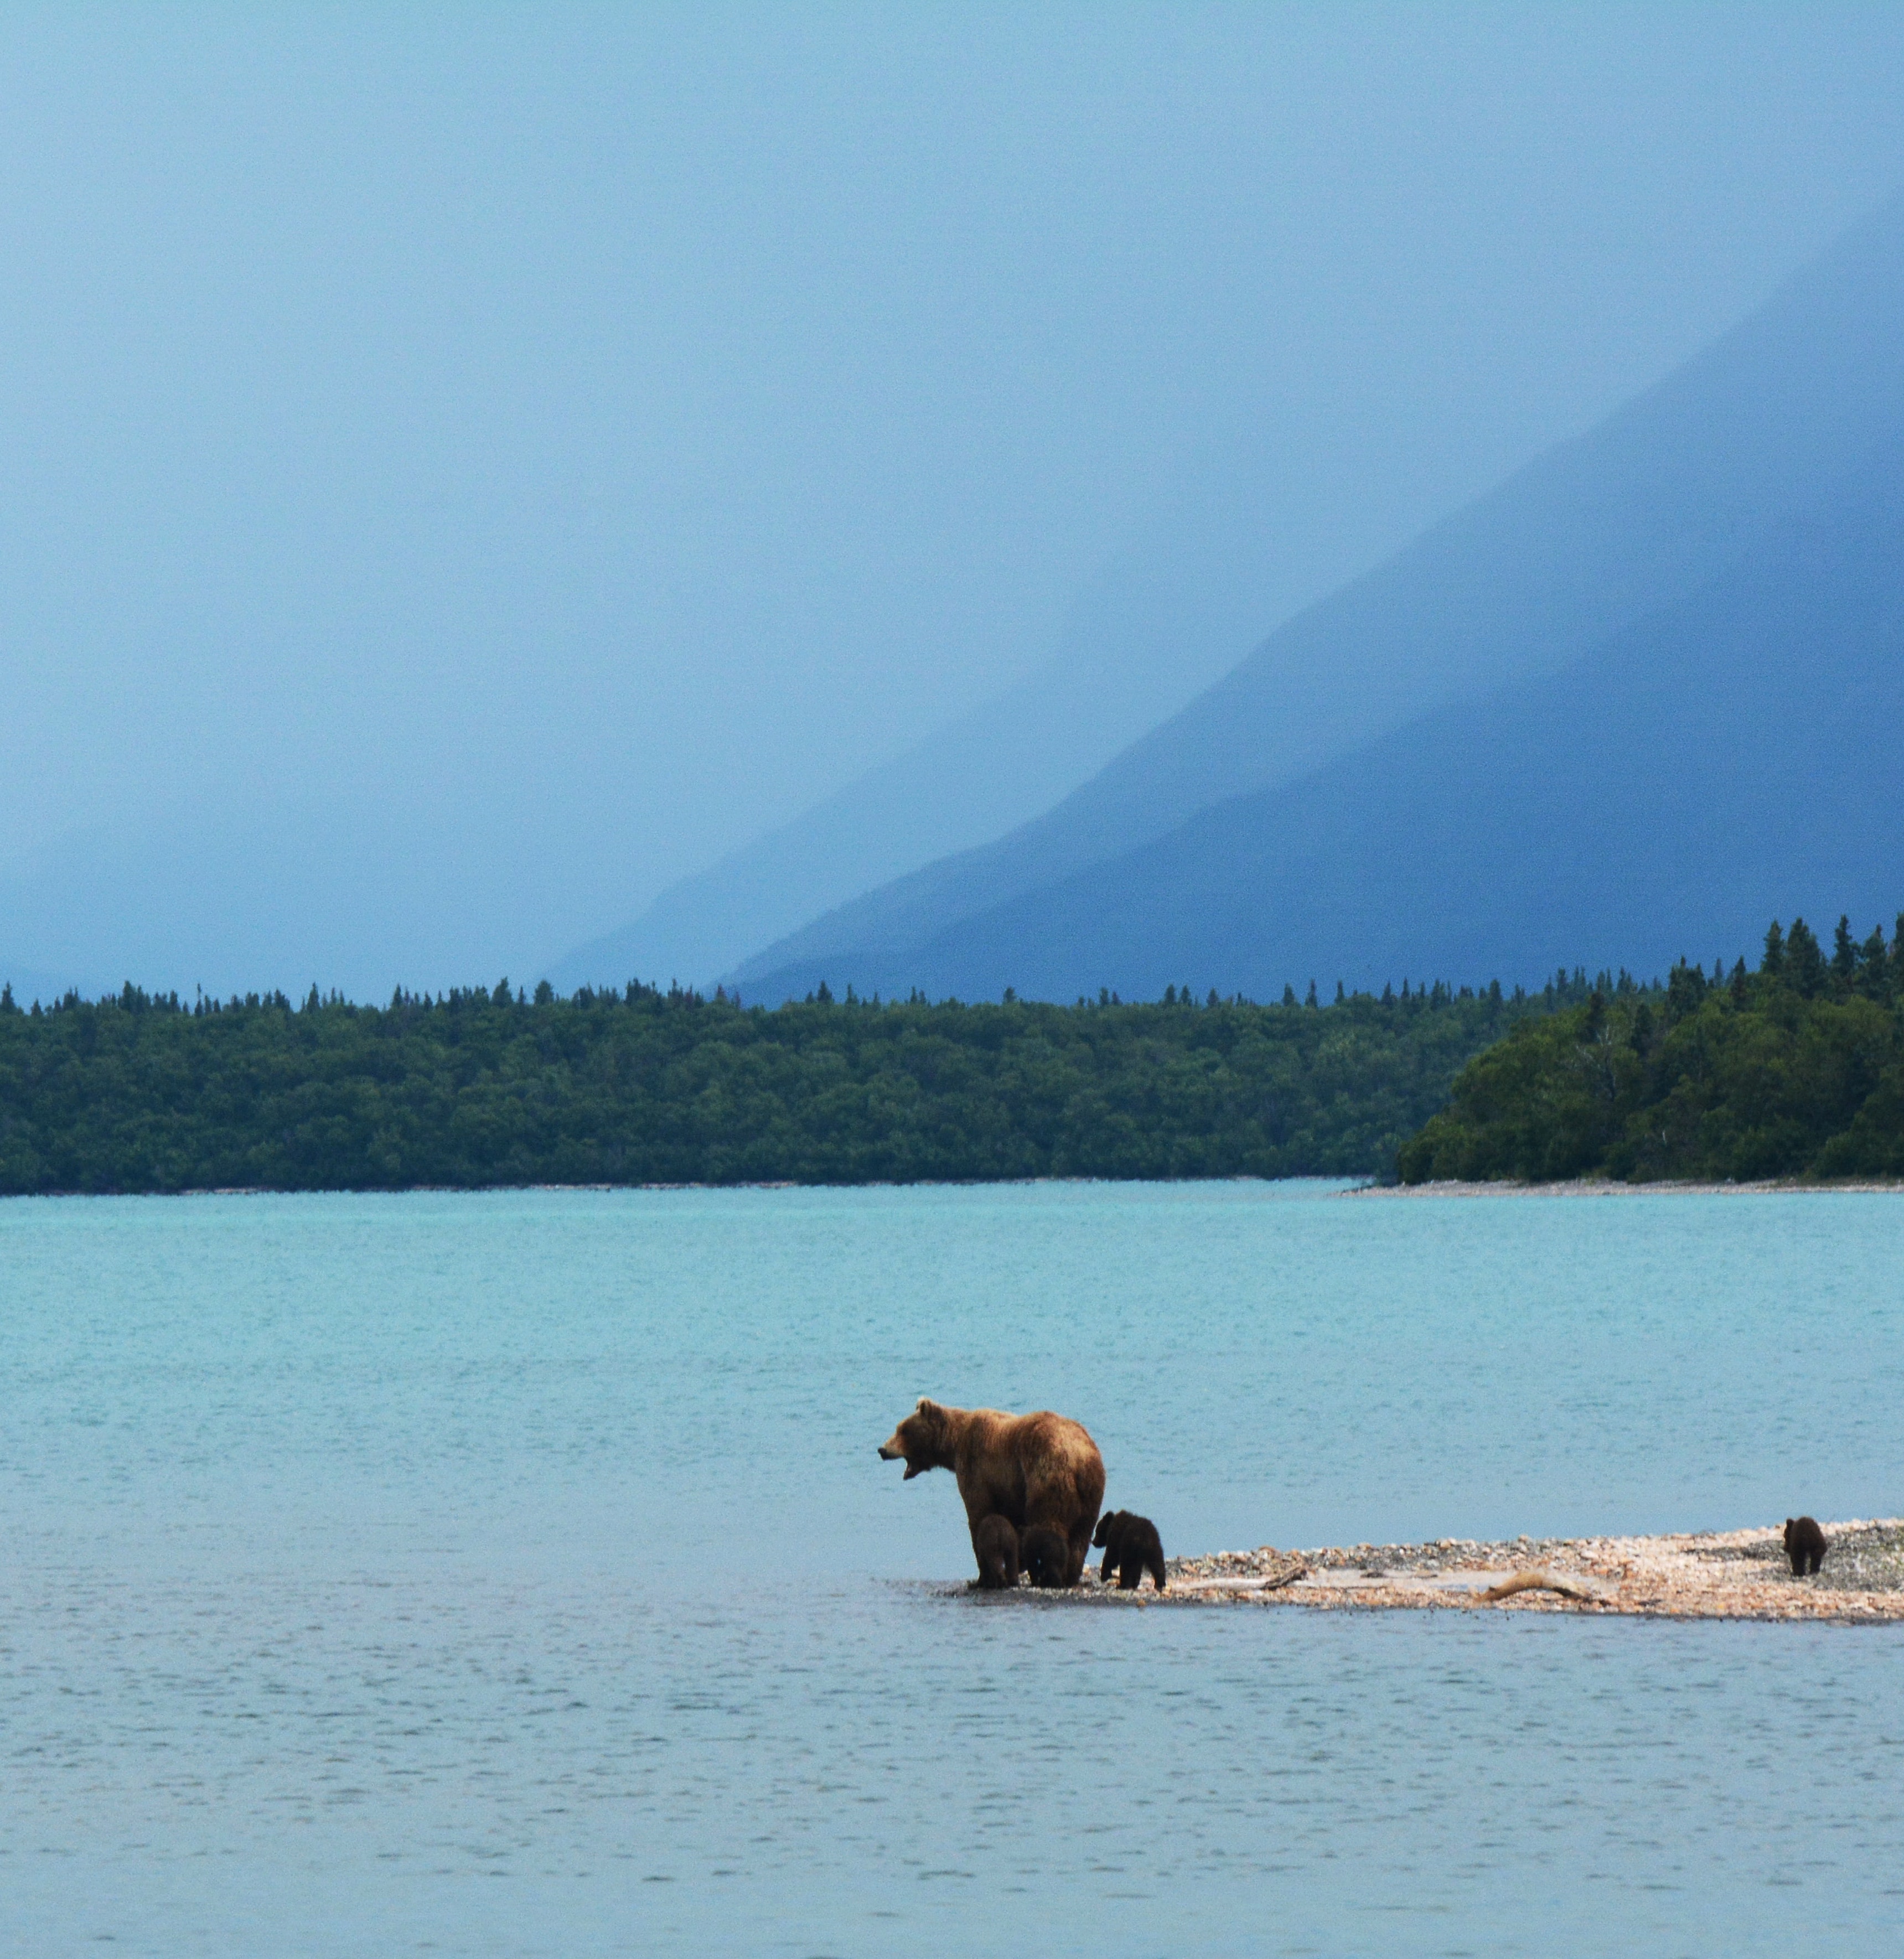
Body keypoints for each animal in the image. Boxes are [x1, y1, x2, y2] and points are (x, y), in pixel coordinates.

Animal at [975, 1512, 1018, 1590]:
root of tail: (1001, 1530)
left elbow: (983, 1565)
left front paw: (985, 1584)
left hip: (992, 1543)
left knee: (995, 1562)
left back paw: (1001, 1583)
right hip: (1012, 1542)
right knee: (1012, 1561)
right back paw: (1013, 1582)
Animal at [1096, 1512, 1167, 1590]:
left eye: (1097, 1531)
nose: (1094, 1542)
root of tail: (1145, 1536)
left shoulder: (1116, 1538)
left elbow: (1112, 1557)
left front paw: (1104, 1575)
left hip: (1130, 1546)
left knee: (1126, 1566)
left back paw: (1122, 1585)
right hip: (1154, 1547)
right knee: (1158, 1564)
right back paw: (1160, 1584)